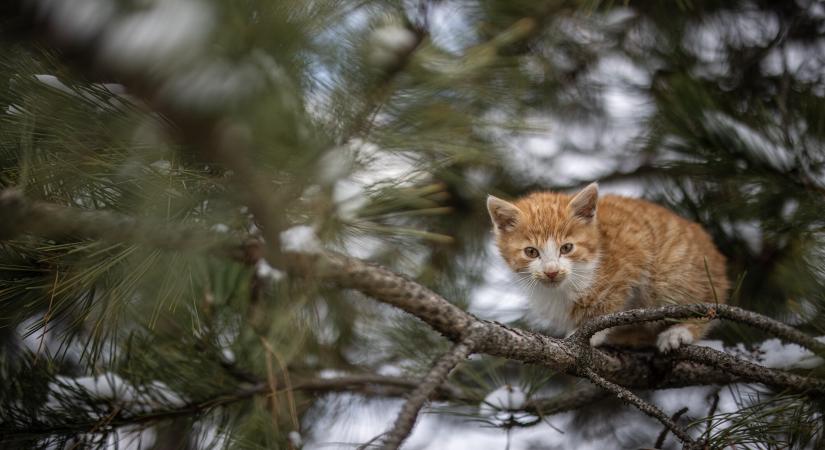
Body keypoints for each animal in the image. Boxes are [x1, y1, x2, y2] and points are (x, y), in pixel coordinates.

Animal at [486, 183, 732, 352]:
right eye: (531, 252)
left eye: (566, 248)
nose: (551, 271)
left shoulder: (633, 253)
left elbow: (608, 303)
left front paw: (590, 334)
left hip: (672, 273)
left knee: (704, 305)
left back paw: (679, 331)